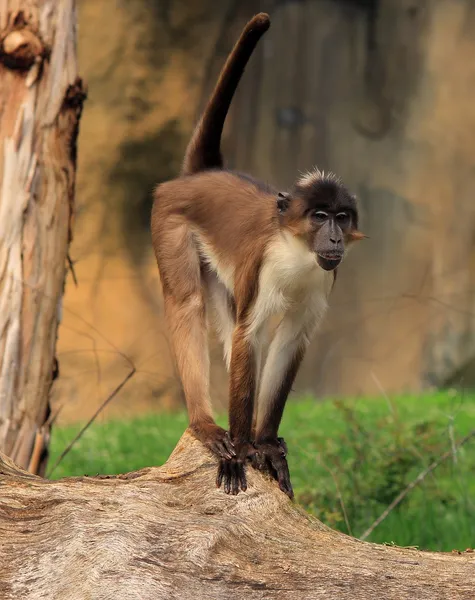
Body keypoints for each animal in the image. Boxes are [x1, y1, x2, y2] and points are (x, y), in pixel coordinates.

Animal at [151, 14, 366, 500]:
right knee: (190, 305)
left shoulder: (325, 276)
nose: (334, 237)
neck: (297, 252)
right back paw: (209, 426)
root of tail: (202, 176)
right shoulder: (262, 263)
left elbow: (288, 340)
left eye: (342, 217)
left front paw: (264, 443)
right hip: (170, 222)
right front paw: (245, 448)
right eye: (320, 216)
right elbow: (247, 336)